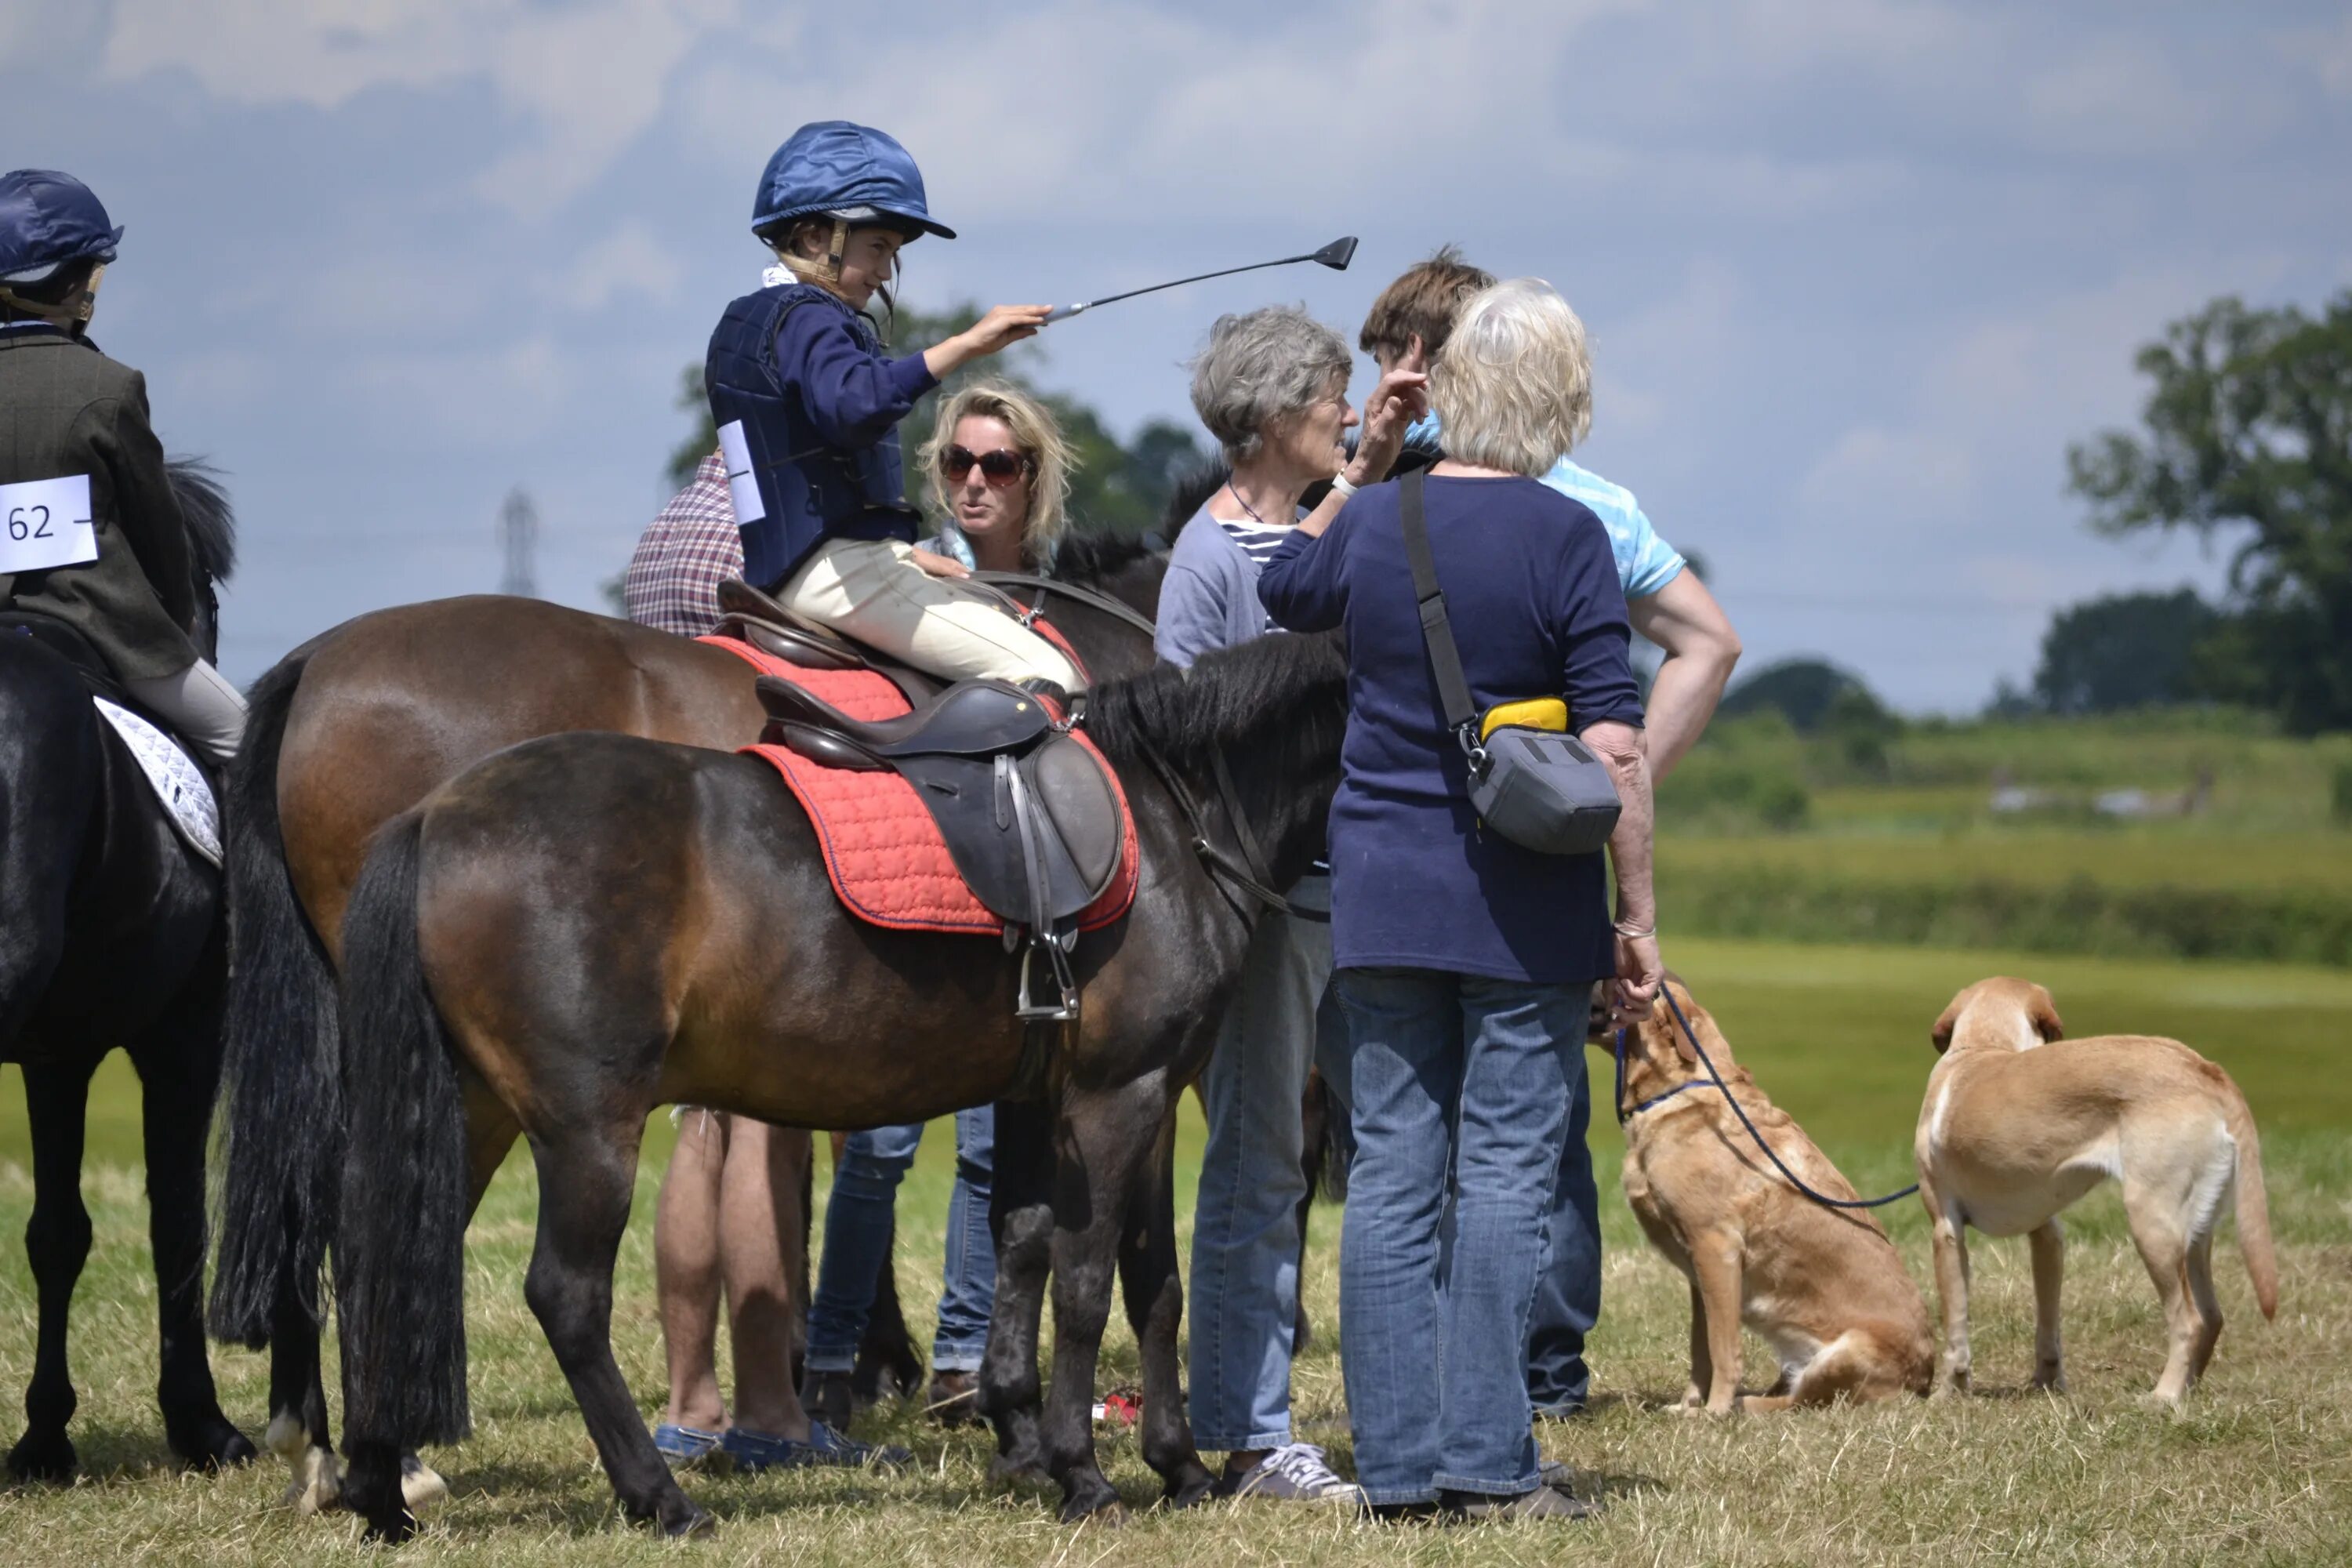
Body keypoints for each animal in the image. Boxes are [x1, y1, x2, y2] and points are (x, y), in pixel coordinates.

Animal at [334, 630, 1364, 1542]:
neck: (1175, 815)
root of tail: (435, 814)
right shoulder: (1121, 1095)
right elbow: (1085, 1281)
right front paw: (1084, 1472)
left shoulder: (1098, 1097)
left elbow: (1123, 1273)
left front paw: (1162, 1465)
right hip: (587, 1127)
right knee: (568, 1296)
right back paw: (660, 1496)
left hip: (475, 1113)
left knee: (381, 1265)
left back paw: (379, 1492)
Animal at [1618, 982, 1929, 1410]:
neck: (1682, 1089)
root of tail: (1925, 1378)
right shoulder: (1698, 1269)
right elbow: (1701, 1349)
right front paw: (1689, 1407)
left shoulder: (1716, 1248)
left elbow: (1723, 1349)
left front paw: (1715, 1412)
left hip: (1845, 1353)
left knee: (1803, 1400)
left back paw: (1745, 1405)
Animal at [1910, 982, 2277, 1410]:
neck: (1983, 1047)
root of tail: (2204, 1069)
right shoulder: (2048, 1235)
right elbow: (2048, 1326)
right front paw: (2046, 1384)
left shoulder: (1946, 1232)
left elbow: (1956, 1331)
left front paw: (1948, 1394)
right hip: (2195, 1236)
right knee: (2213, 1316)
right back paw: (2187, 1392)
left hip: (2151, 1224)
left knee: (2190, 1320)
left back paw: (2163, 1396)